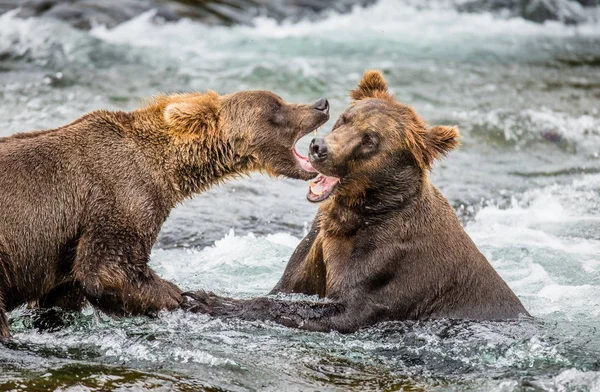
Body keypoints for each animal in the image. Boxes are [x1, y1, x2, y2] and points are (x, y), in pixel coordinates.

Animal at [0, 89, 328, 336]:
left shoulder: (67, 244)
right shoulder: (121, 197)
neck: (166, 170)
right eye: (276, 106)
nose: (321, 104)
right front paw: (181, 295)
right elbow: (107, 269)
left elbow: (62, 295)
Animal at [183, 71, 528, 334]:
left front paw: (207, 299)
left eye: (370, 139)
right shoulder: (320, 243)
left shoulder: (388, 265)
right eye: (345, 118)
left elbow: (334, 310)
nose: (318, 147)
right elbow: (288, 286)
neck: (353, 215)